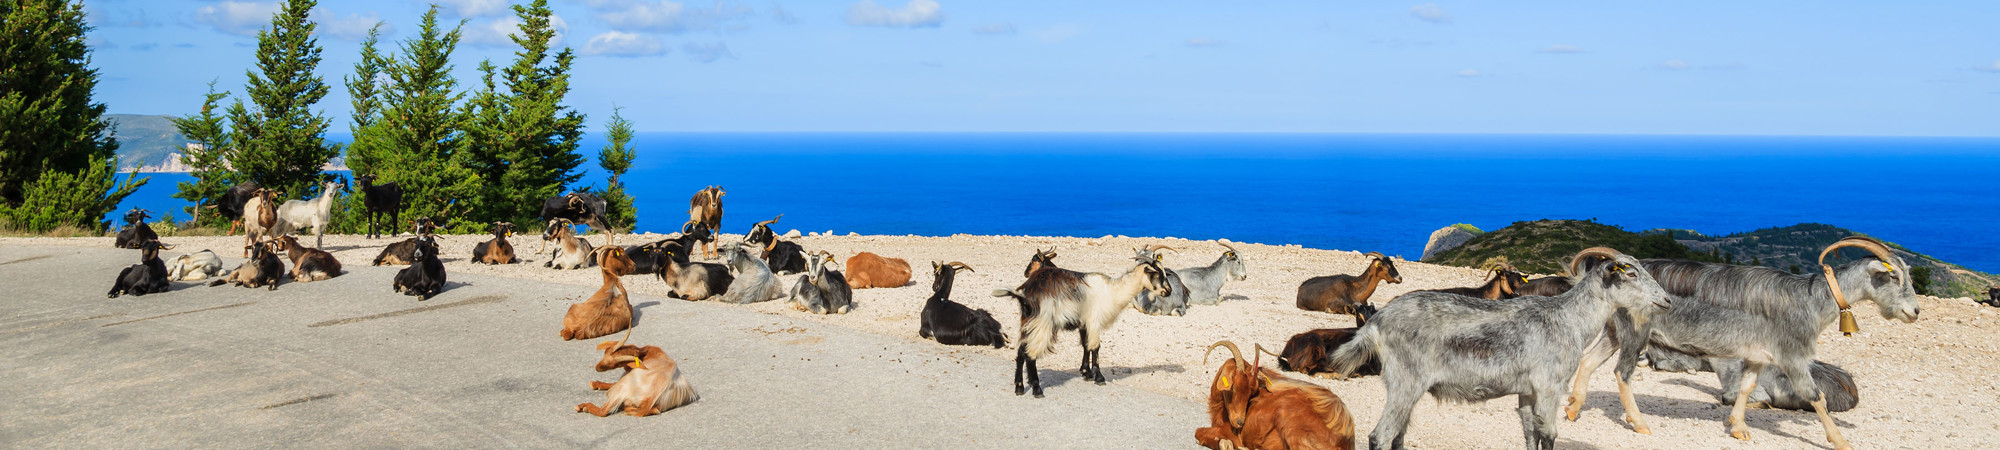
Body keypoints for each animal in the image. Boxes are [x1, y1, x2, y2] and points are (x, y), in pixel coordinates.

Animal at [992, 252, 1172, 397]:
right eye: (1158, 274)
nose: (1169, 291)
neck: (1113, 291)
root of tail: (1025, 295)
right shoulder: (1094, 321)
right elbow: (1095, 347)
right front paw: (1099, 377)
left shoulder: (1085, 323)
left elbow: (1086, 346)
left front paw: (1086, 373)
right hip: (1043, 324)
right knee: (1030, 355)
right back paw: (1037, 390)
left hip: (1029, 323)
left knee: (1020, 353)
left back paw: (1019, 387)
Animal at [1197, 341, 1357, 450]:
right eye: (1233, 388)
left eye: (1251, 393)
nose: (1240, 422)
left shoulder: (1230, 432)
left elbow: (1199, 432)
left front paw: (1225, 444)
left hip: (1289, 423)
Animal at [1324, 247, 1670, 450]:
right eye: (1630, 273)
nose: (1666, 300)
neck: (1567, 318)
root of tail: (1378, 321)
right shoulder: (1550, 386)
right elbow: (1549, 434)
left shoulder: (1528, 391)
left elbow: (1531, 434)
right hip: (1405, 381)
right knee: (1380, 436)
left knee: (1397, 436)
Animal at [1563, 237, 1918, 449]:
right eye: (1894, 276)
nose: (1914, 311)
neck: (1813, 298)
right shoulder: (1791, 355)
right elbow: (1816, 396)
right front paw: (1840, 440)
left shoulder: (1759, 355)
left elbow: (1747, 387)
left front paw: (1738, 427)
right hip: (1636, 331)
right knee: (1621, 373)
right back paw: (1639, 423)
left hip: (1614, 329)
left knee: (1588, 361)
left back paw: (1573, 408)